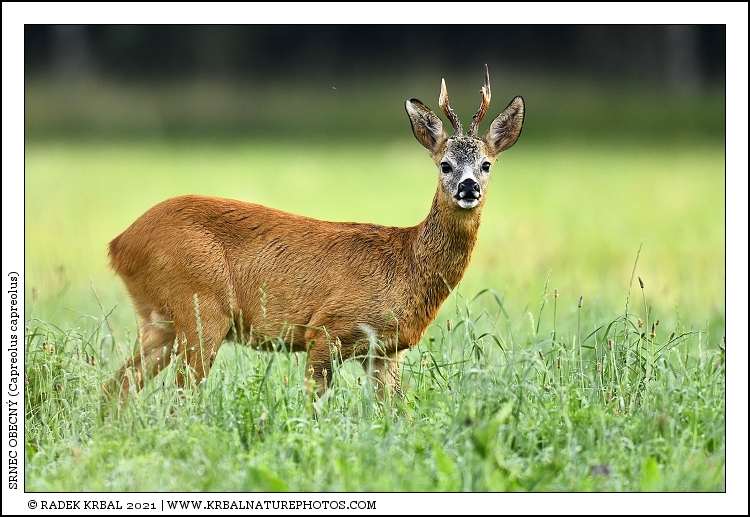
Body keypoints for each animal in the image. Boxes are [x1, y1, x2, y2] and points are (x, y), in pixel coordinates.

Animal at [106, 64, 524, 400]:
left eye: (487, 164)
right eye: (445, 164)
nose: (468, 187)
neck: (406, 263)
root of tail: (120, 243)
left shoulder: (386, 351)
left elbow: (397, 412)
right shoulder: (325, 330)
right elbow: (315, 407)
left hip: (161, 319)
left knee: (116, 387)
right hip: (202, 306)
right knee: (178, 398)